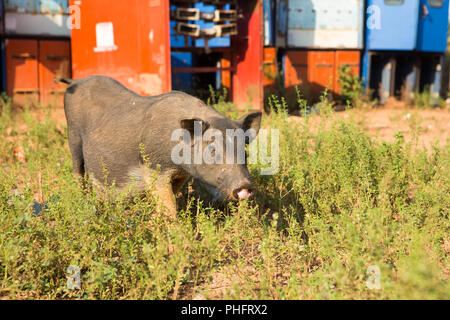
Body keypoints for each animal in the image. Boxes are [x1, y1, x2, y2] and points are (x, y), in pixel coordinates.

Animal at [61, 74, 262, 218]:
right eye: (212, 151)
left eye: (245, 153)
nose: (245, 185)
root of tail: (76, 81)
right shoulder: (153, 166)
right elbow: (168, 204)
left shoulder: (181, 174)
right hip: (73, 135)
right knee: (77, 171)